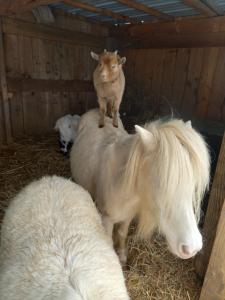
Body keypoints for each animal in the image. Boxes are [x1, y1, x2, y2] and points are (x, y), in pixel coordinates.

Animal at [70, 109, 209, 264]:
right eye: (162, 182)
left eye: (192, 183)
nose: (192, 248)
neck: (120, 183)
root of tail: (94, 111)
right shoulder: (106, 219)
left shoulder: (128, 216)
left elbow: (122, 233)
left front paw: (122, 256)